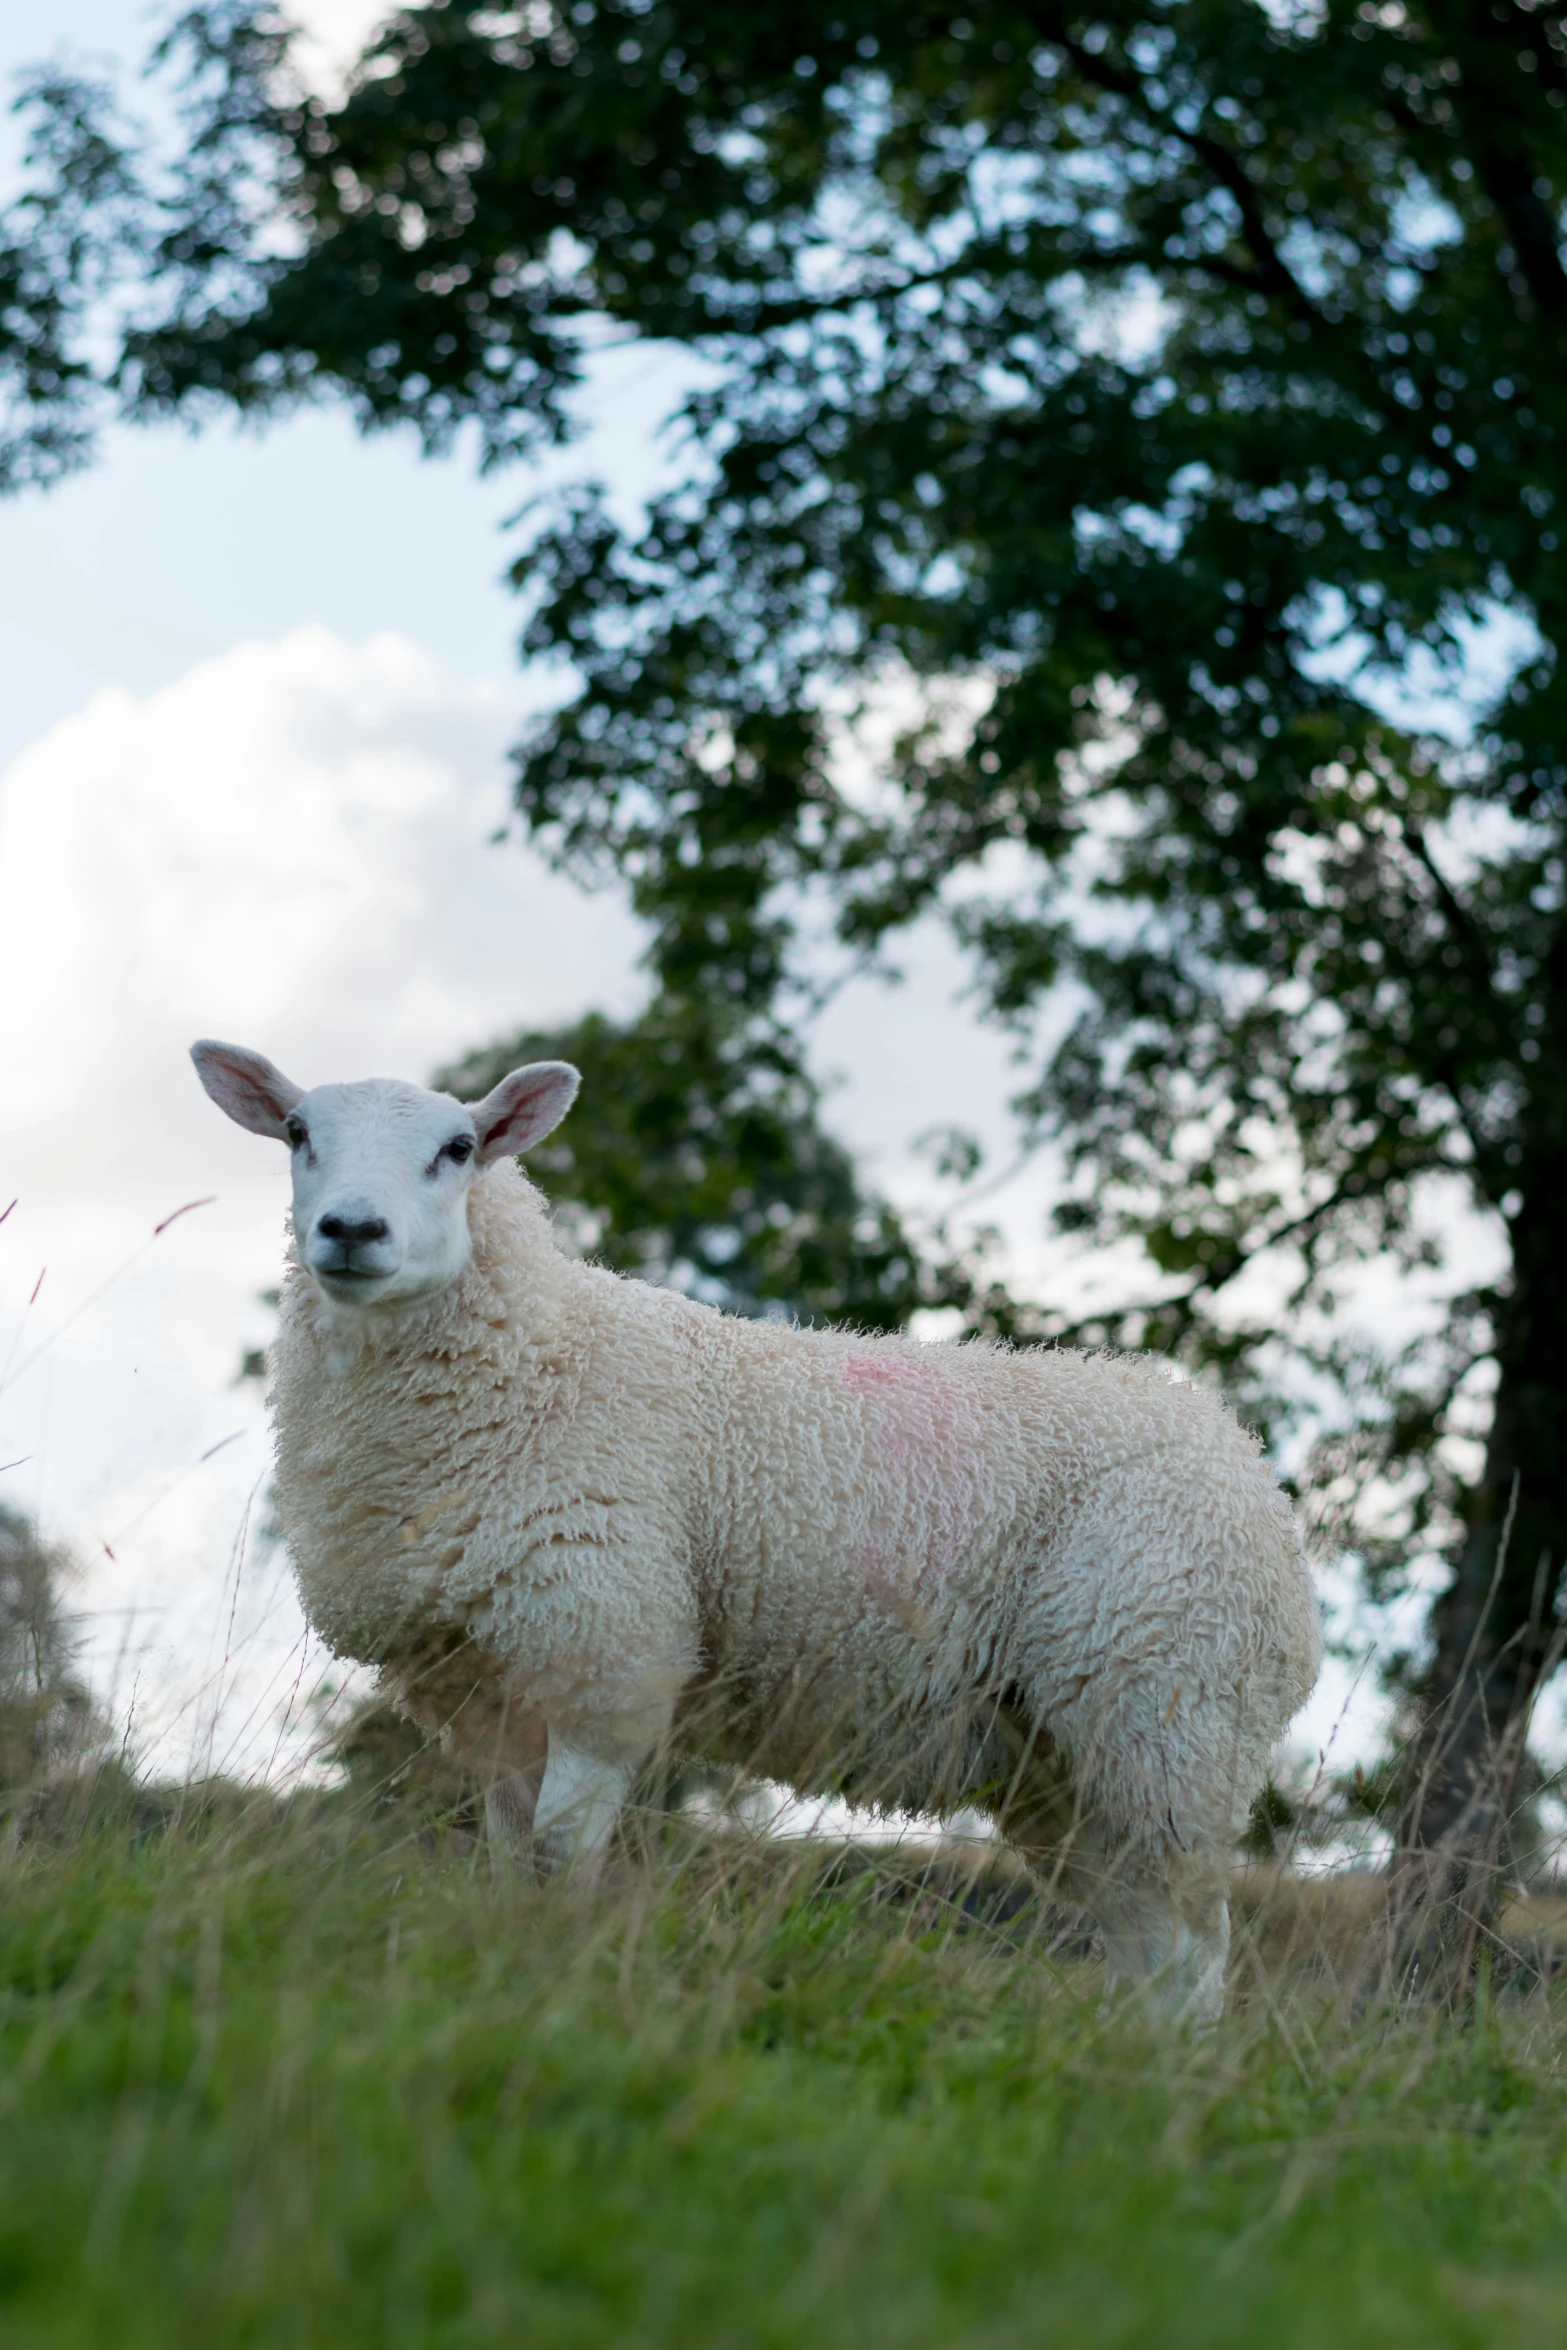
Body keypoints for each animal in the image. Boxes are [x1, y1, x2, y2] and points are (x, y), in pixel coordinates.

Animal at [192, 1048, 1325, 2020]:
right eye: (297, 1131)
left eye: (459, 1147)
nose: (350, 1230)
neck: (538, 1360)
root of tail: (1253, 1475)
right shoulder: (490, 1690)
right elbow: (512, 1861)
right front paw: (508, 1960)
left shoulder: (606, 1651)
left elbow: (560, 1858)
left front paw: (548, 1979)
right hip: (1060, 1760)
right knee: (1141, 1937)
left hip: (1164, 1711)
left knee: (1192, 1947)